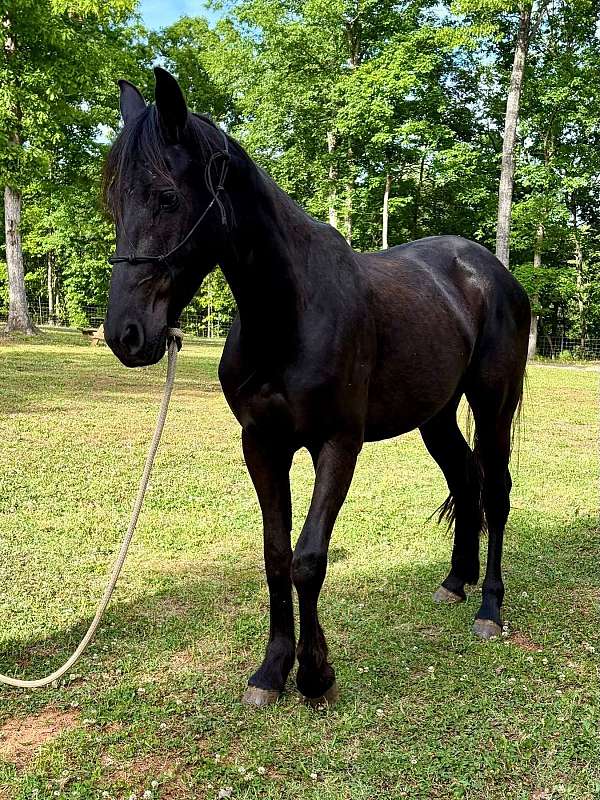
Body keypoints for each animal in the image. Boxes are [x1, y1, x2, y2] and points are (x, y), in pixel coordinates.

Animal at [103, 67, 530, 708]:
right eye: (116, 200)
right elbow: (276, 555)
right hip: (435, 416)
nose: (125, 334)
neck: (291, 314)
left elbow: (308, 559)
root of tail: (490, 271)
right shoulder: (262, 444)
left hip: (492, 403)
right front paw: (271, 670)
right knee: (466, 479)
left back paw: (489, 610)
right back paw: (456, 582)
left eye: (167, 197)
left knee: (496, 490)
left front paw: (314, 673)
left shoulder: (338, 444)